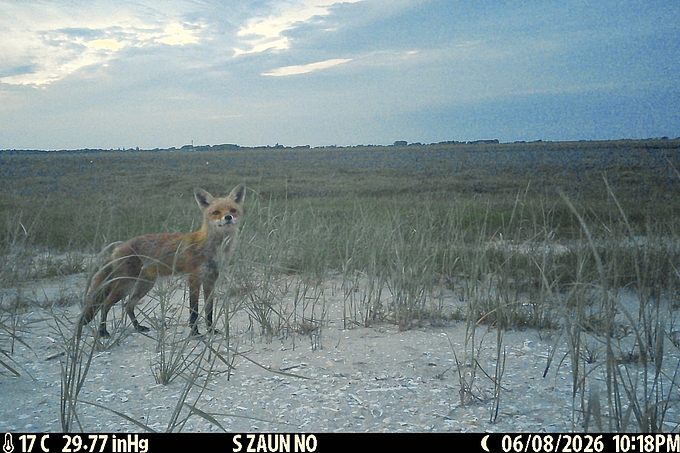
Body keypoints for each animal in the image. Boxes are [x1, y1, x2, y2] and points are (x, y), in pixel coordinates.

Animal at [76, 184, 245, 338]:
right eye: (216, 212)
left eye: (233, 210)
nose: (228, 217)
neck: (213, 248)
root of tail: (119, 246)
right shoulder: (193, 278)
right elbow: (194, 310)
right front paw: (195, 334)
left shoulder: (211, 279)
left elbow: (209, 310)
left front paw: (211, 330)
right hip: (125, 285)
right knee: (106, 305)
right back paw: (103, 331)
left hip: (145, 285)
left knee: (127, 305)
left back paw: (138, 327)